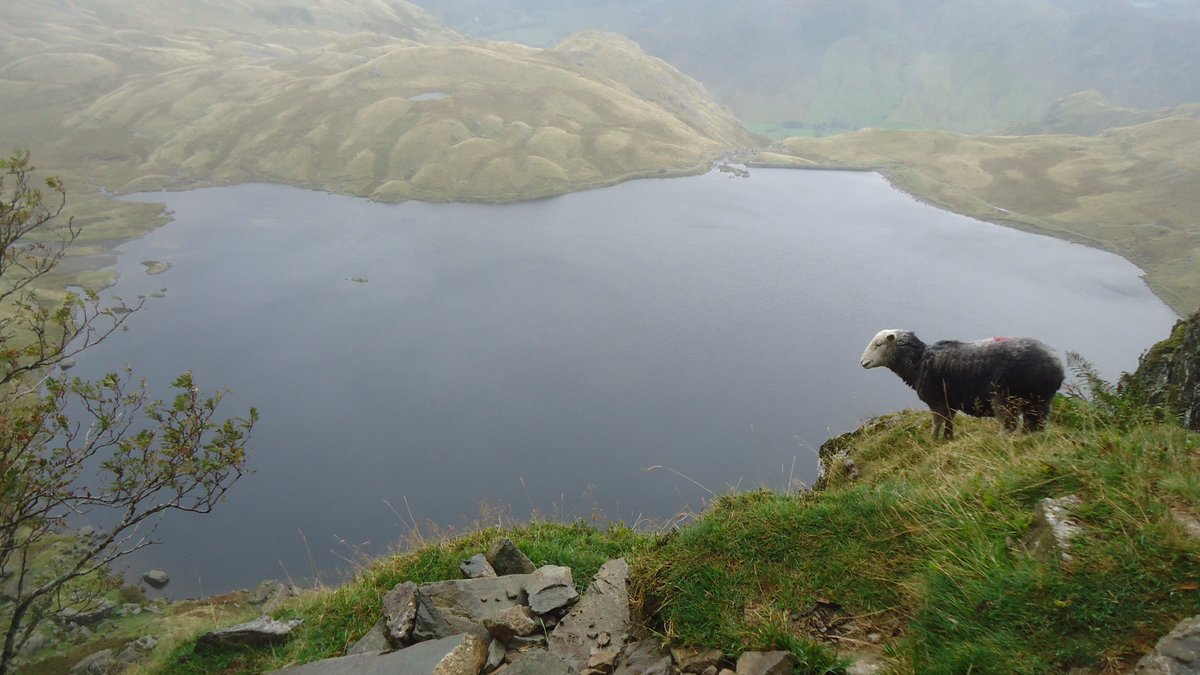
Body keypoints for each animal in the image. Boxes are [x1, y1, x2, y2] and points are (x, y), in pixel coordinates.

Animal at [860, 330, 1065, 439]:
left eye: (878, 344)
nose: (862, 362)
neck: (919, 362)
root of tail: (1056, 364)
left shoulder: (937, 400)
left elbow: (937, 421)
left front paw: (933, 440)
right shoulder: (949, 402)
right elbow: (949, 421)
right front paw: (947, 439)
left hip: (1005, 398)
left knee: (1009, 426)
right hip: (1039, 401)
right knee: (1035, 424)